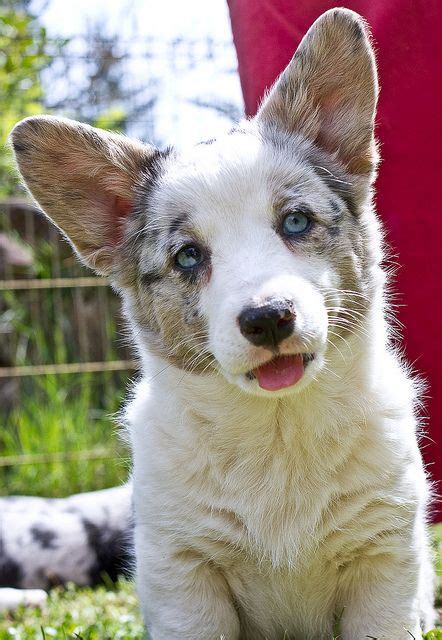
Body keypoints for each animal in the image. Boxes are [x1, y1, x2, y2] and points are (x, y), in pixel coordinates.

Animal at [10, 10, 436, 640]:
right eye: (189, 257)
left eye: (296, 221)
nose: (267, 319)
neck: (277, 431)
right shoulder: (185, 575)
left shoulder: (383, 561)